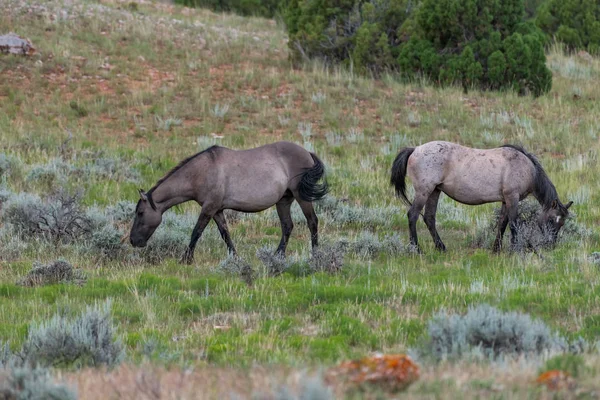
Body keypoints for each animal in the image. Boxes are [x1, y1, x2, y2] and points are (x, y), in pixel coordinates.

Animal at [128, 141, 330, 262]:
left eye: (140, 213)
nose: (133, 241)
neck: (201, 173)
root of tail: (307, 152)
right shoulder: (217, 210)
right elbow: (225, 234)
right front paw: (235, 258)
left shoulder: (209, 208)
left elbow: (196, 232)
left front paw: (186, 259)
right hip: (283, 200)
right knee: (287, 226)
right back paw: (278, 255)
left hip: (301, 197)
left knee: (312, 222)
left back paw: (315, 255)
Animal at [390, 141, 572, 253]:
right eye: (551, 220)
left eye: (562, 223)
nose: (550, 244)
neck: (526, 168)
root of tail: (415, 149)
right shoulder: (512, 198)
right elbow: (513, 224)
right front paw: (514, 249)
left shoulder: (505, 200)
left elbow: (502, 224)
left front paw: (496, 249)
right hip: (424, 191)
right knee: (413, 215)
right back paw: (416, 249)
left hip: (435, 191)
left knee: (429, 217)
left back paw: (441, 247)